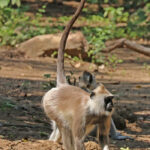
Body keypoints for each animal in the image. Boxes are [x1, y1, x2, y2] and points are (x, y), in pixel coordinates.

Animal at [42, 0, 115, 149]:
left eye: (111, 99)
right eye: (107, 100)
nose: (112, 105)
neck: (93, 108)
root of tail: (63, 86)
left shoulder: (105, 115)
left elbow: (103, 137)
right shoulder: (81, 114)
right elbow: (78, 139)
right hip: (49, 105)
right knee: (65, 126)